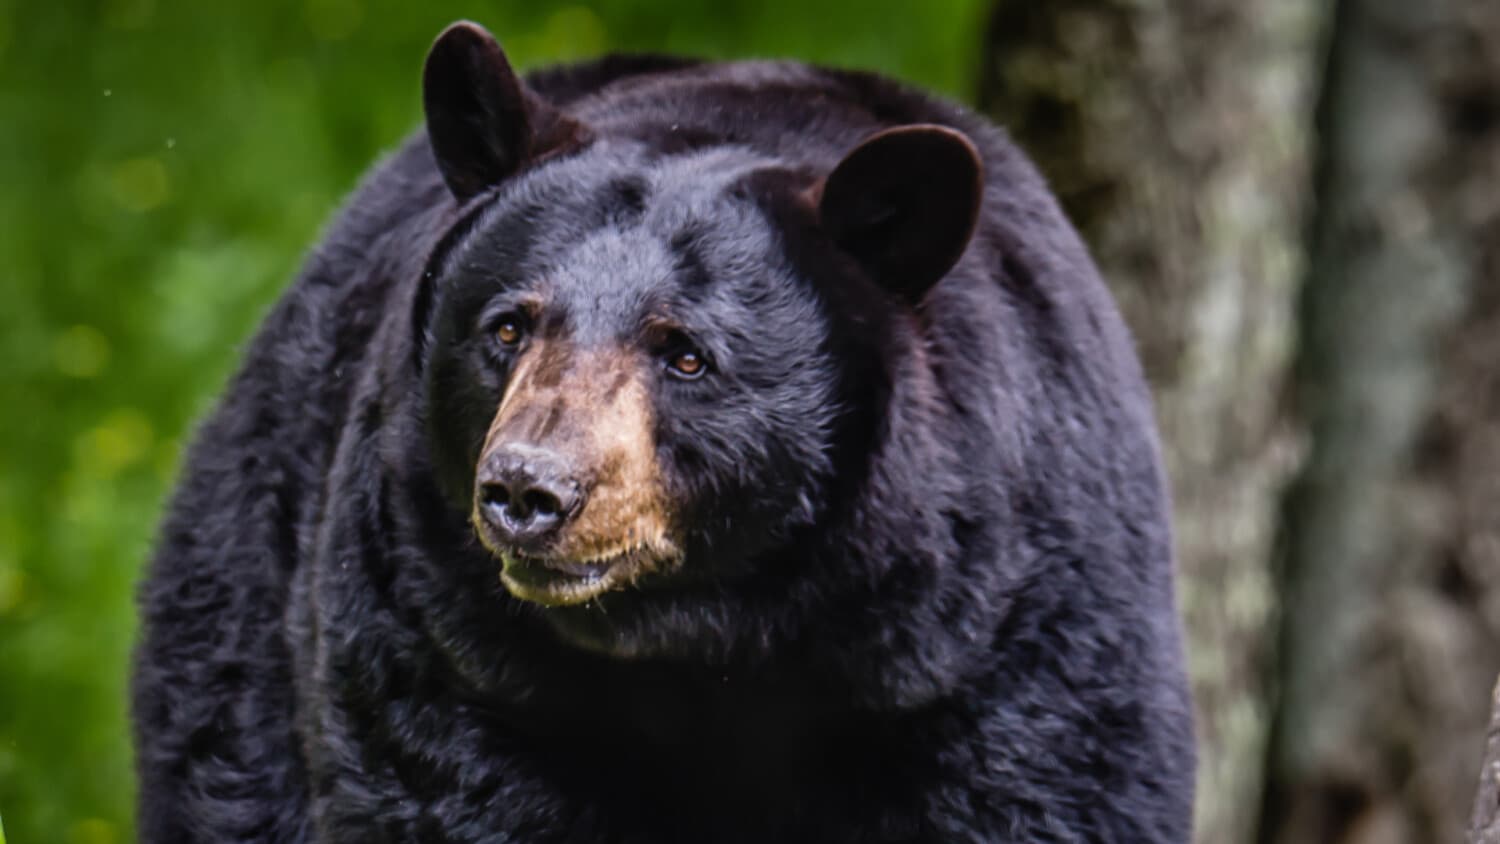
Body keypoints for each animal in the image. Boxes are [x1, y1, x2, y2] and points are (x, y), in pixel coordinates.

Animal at [132, 20, 1195, 843]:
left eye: (685, 354)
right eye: (508, 326)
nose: (527, 490)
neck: (714, 640)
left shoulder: (1002, 636)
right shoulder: (441, 640)